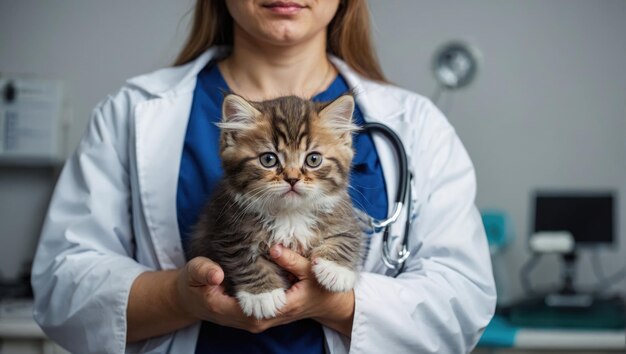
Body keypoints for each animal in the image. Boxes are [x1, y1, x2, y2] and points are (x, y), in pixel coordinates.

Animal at [189, 92, 360, 320]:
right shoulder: (226, 229)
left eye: (313, 159)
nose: (292, 179)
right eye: (268, 159)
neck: (290, 214)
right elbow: (245, 260)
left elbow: (348, 238)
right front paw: (262, 295)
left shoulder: (345, 214)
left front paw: (335, 270)